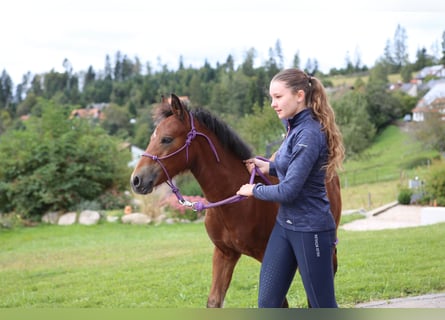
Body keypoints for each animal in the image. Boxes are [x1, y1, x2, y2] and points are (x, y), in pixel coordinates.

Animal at [130, 93, 342, 308]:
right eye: (152, 138)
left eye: (166, 139)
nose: (136, 180)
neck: (233, 203)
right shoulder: (224, 253)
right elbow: (214, 301)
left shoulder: (266, 254)